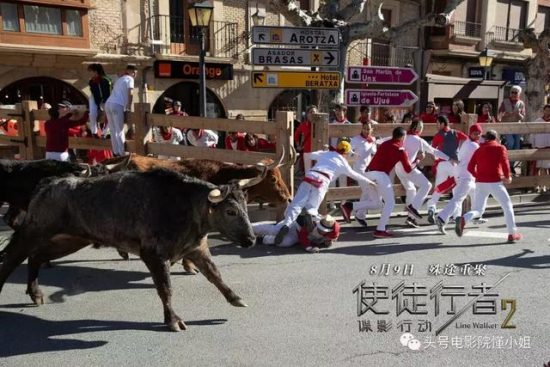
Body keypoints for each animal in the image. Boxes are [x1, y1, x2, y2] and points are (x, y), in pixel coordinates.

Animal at [0, 170, 258, 334]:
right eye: (230, 211)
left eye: (246, 207)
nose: (251, 239)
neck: (186, 206)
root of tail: (48, 183)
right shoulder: (154, 256)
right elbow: (166, 289)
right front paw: (173, 321)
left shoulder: (197, 249)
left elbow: (215, 275)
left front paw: (235, 298)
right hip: (33, 232)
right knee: (12, 258)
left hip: (69, 240)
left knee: (36, 257)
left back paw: (36, 293)